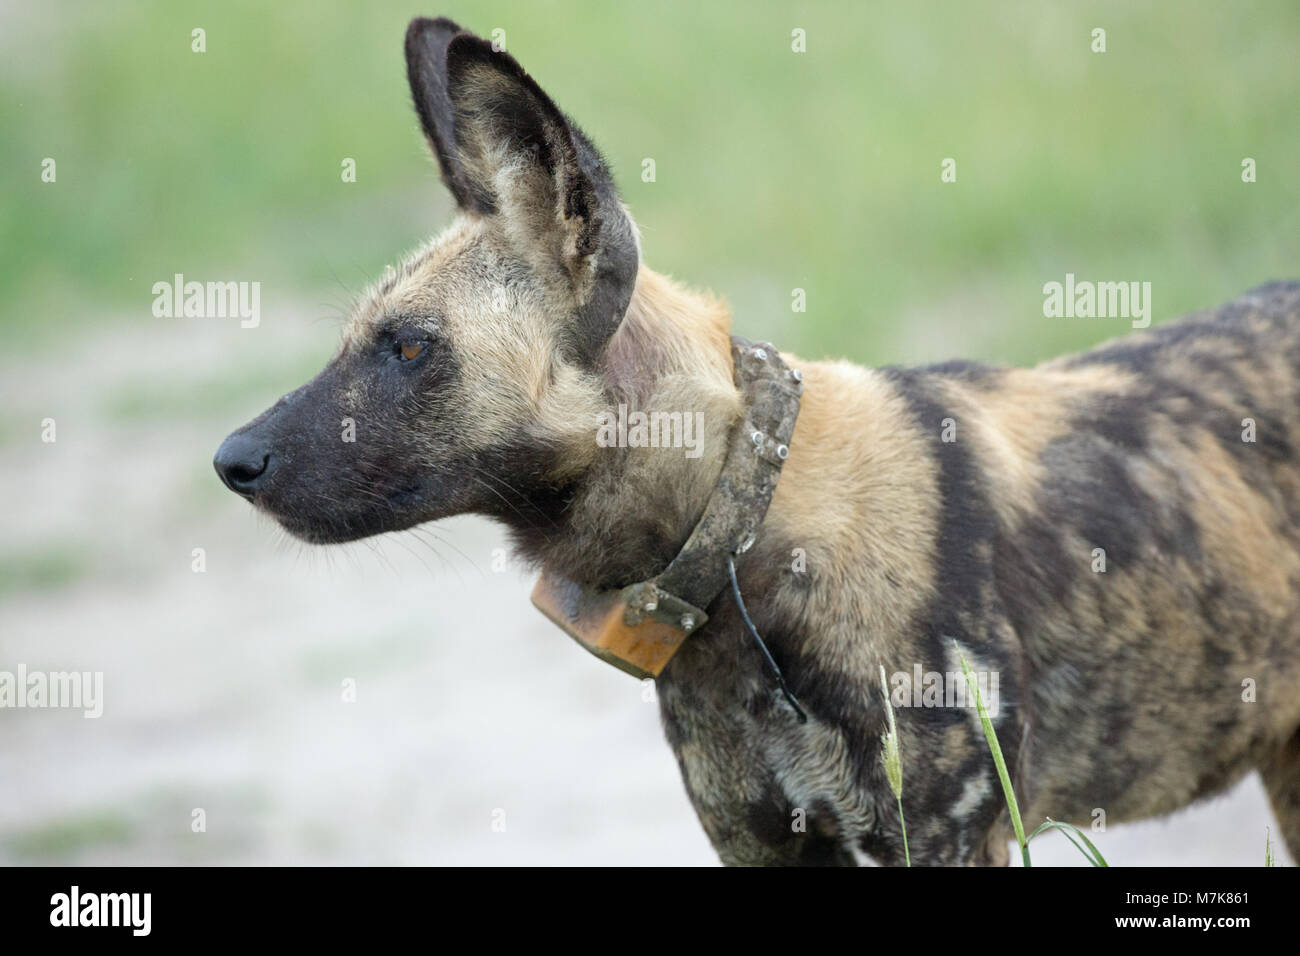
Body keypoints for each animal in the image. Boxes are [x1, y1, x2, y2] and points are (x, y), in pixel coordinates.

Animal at [213, 16, 1300, 868]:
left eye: (409, 346)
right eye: (357, 337)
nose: (231, 461)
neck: (744, 533)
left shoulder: (946, 838)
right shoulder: (763, 843)